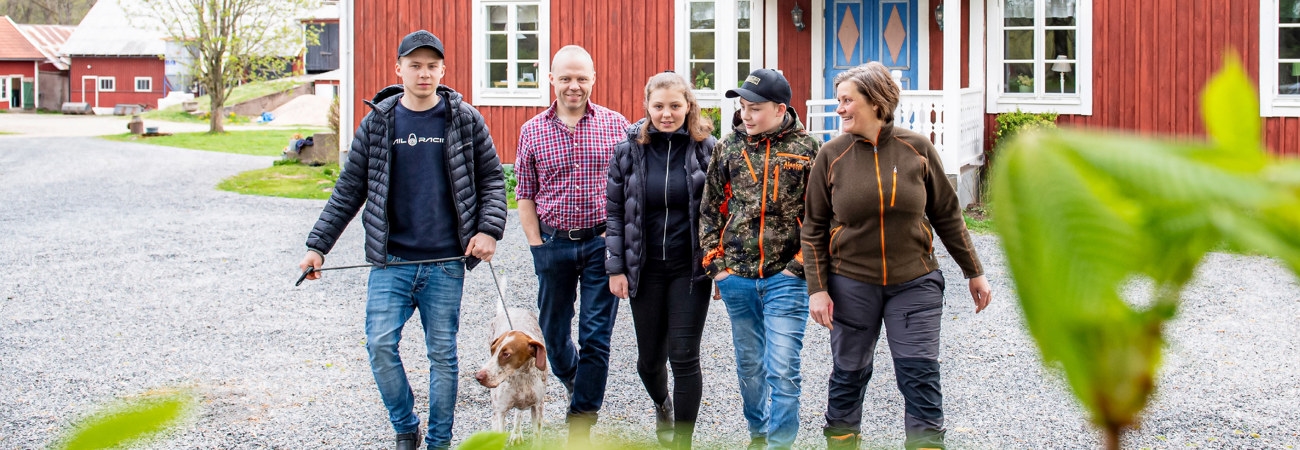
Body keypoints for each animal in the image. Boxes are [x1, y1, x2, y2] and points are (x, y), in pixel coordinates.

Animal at [475, 304, 546, 442]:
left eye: (506, 354)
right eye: (492, 350)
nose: (478, 376)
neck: (521, 376)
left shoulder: (537, 407)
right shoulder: (499, 412)